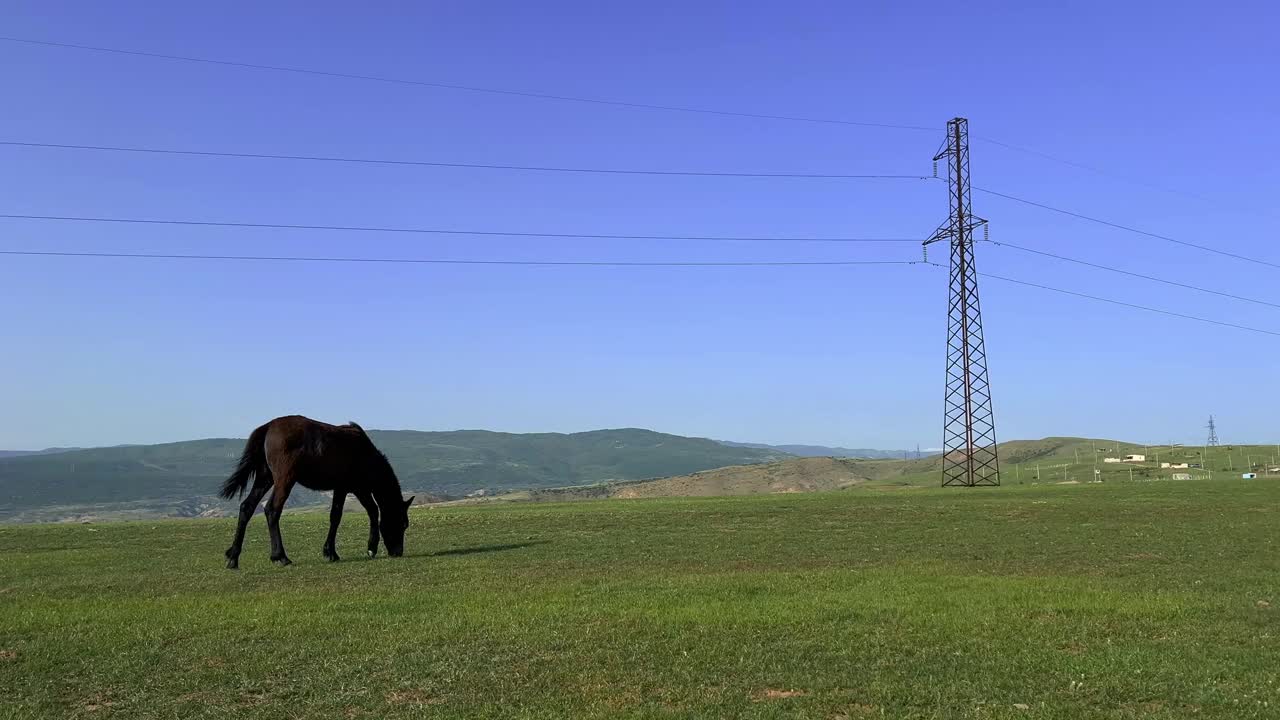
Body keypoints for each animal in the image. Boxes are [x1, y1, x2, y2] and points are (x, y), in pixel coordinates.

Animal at [217, 415, 412, 566]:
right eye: (403, 524)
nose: (398, 552)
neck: (365, 454)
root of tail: (268, 427)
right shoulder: (350, 488)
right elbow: (339, 515)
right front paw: (334, 552)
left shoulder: (356, 489)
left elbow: (369, 511)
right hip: (284, 479)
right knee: (272, 510)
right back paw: (280, 556)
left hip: (265, 477)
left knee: (247, 507)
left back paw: (233, 557)